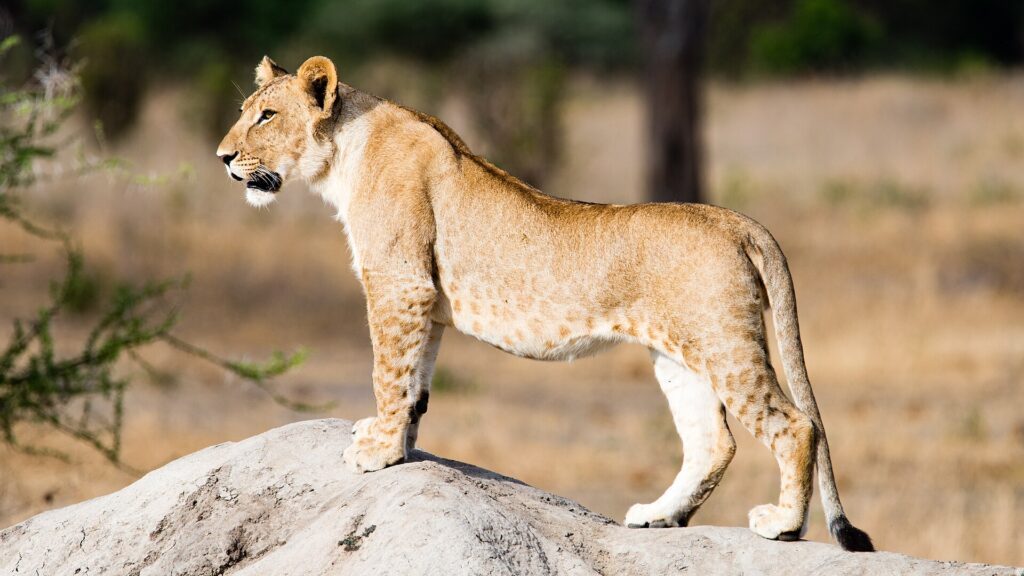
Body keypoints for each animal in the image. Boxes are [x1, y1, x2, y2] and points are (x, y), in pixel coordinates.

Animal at [216, 55, 874, 552]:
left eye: (267, 115)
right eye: (244, 112)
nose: (222, 157)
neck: (343, 151)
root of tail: (733, 219)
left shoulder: (398, 283)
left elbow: (388, 373)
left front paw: (375, 453)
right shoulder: (424, 299)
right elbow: (415, 386)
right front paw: (397, 445)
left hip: (724, 344)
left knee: (797, 425)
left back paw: (782, 526)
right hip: (679, 355)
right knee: (714, 442)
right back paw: (660, 516)